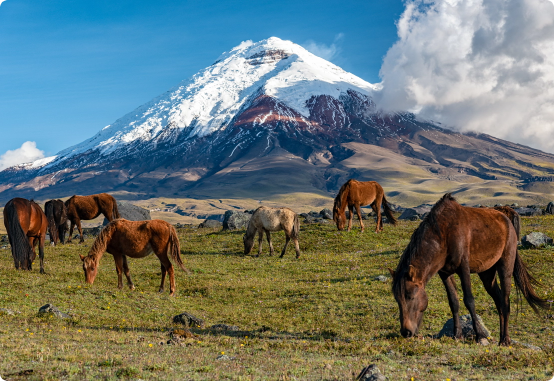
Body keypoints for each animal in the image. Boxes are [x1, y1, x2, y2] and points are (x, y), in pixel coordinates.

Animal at [390, 194, 544, 346]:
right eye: (397, 299)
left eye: (410, 296)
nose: (406, 332)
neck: (444, 234)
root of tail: (505, 217)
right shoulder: (444, 273)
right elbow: (453, 301)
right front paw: (457, 334)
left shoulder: (464, 268)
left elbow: (469, 300)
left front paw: (480, 336)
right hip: (487, 274)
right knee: (499, 300)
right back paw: (501, 338)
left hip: (505, 266)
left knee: (505, 301)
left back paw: (505, 339)